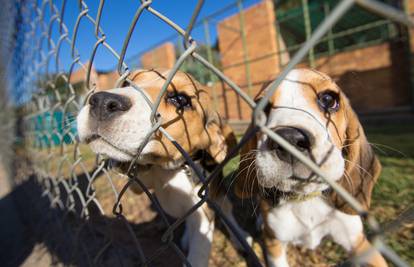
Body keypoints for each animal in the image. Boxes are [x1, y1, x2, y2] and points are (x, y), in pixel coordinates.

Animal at [76, 69, 234, 267]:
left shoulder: (204, 216)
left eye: (181, 100)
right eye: (127, 83)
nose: (102, 102)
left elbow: (198, 251)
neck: (169, 170)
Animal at [234, 69, 386, 267]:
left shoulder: (359, 242)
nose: (289, 139)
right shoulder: (274, 245)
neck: (306, 199)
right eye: (261, 107)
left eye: (328, 99)